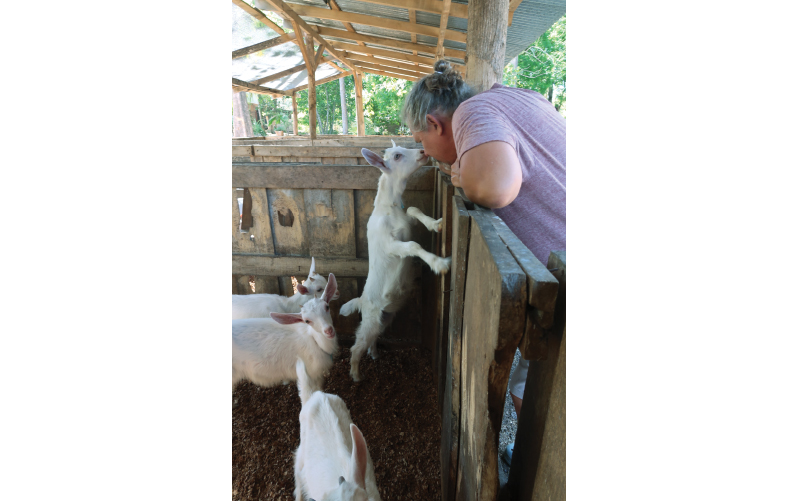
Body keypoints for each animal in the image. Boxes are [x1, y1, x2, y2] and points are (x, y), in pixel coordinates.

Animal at [338, 140, 450, 378]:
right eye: (397, 156)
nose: (423, 151)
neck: (388, 210)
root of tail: (361, 301)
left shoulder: (407, 219)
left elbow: (413, 209)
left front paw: (436, 224)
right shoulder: (389, 243)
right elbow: (413, 245)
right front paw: (439, 263)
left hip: (384, 318)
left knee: (372, 339)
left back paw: (374, 354)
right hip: (370, 320)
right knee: (356, 346)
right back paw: (355, 375)